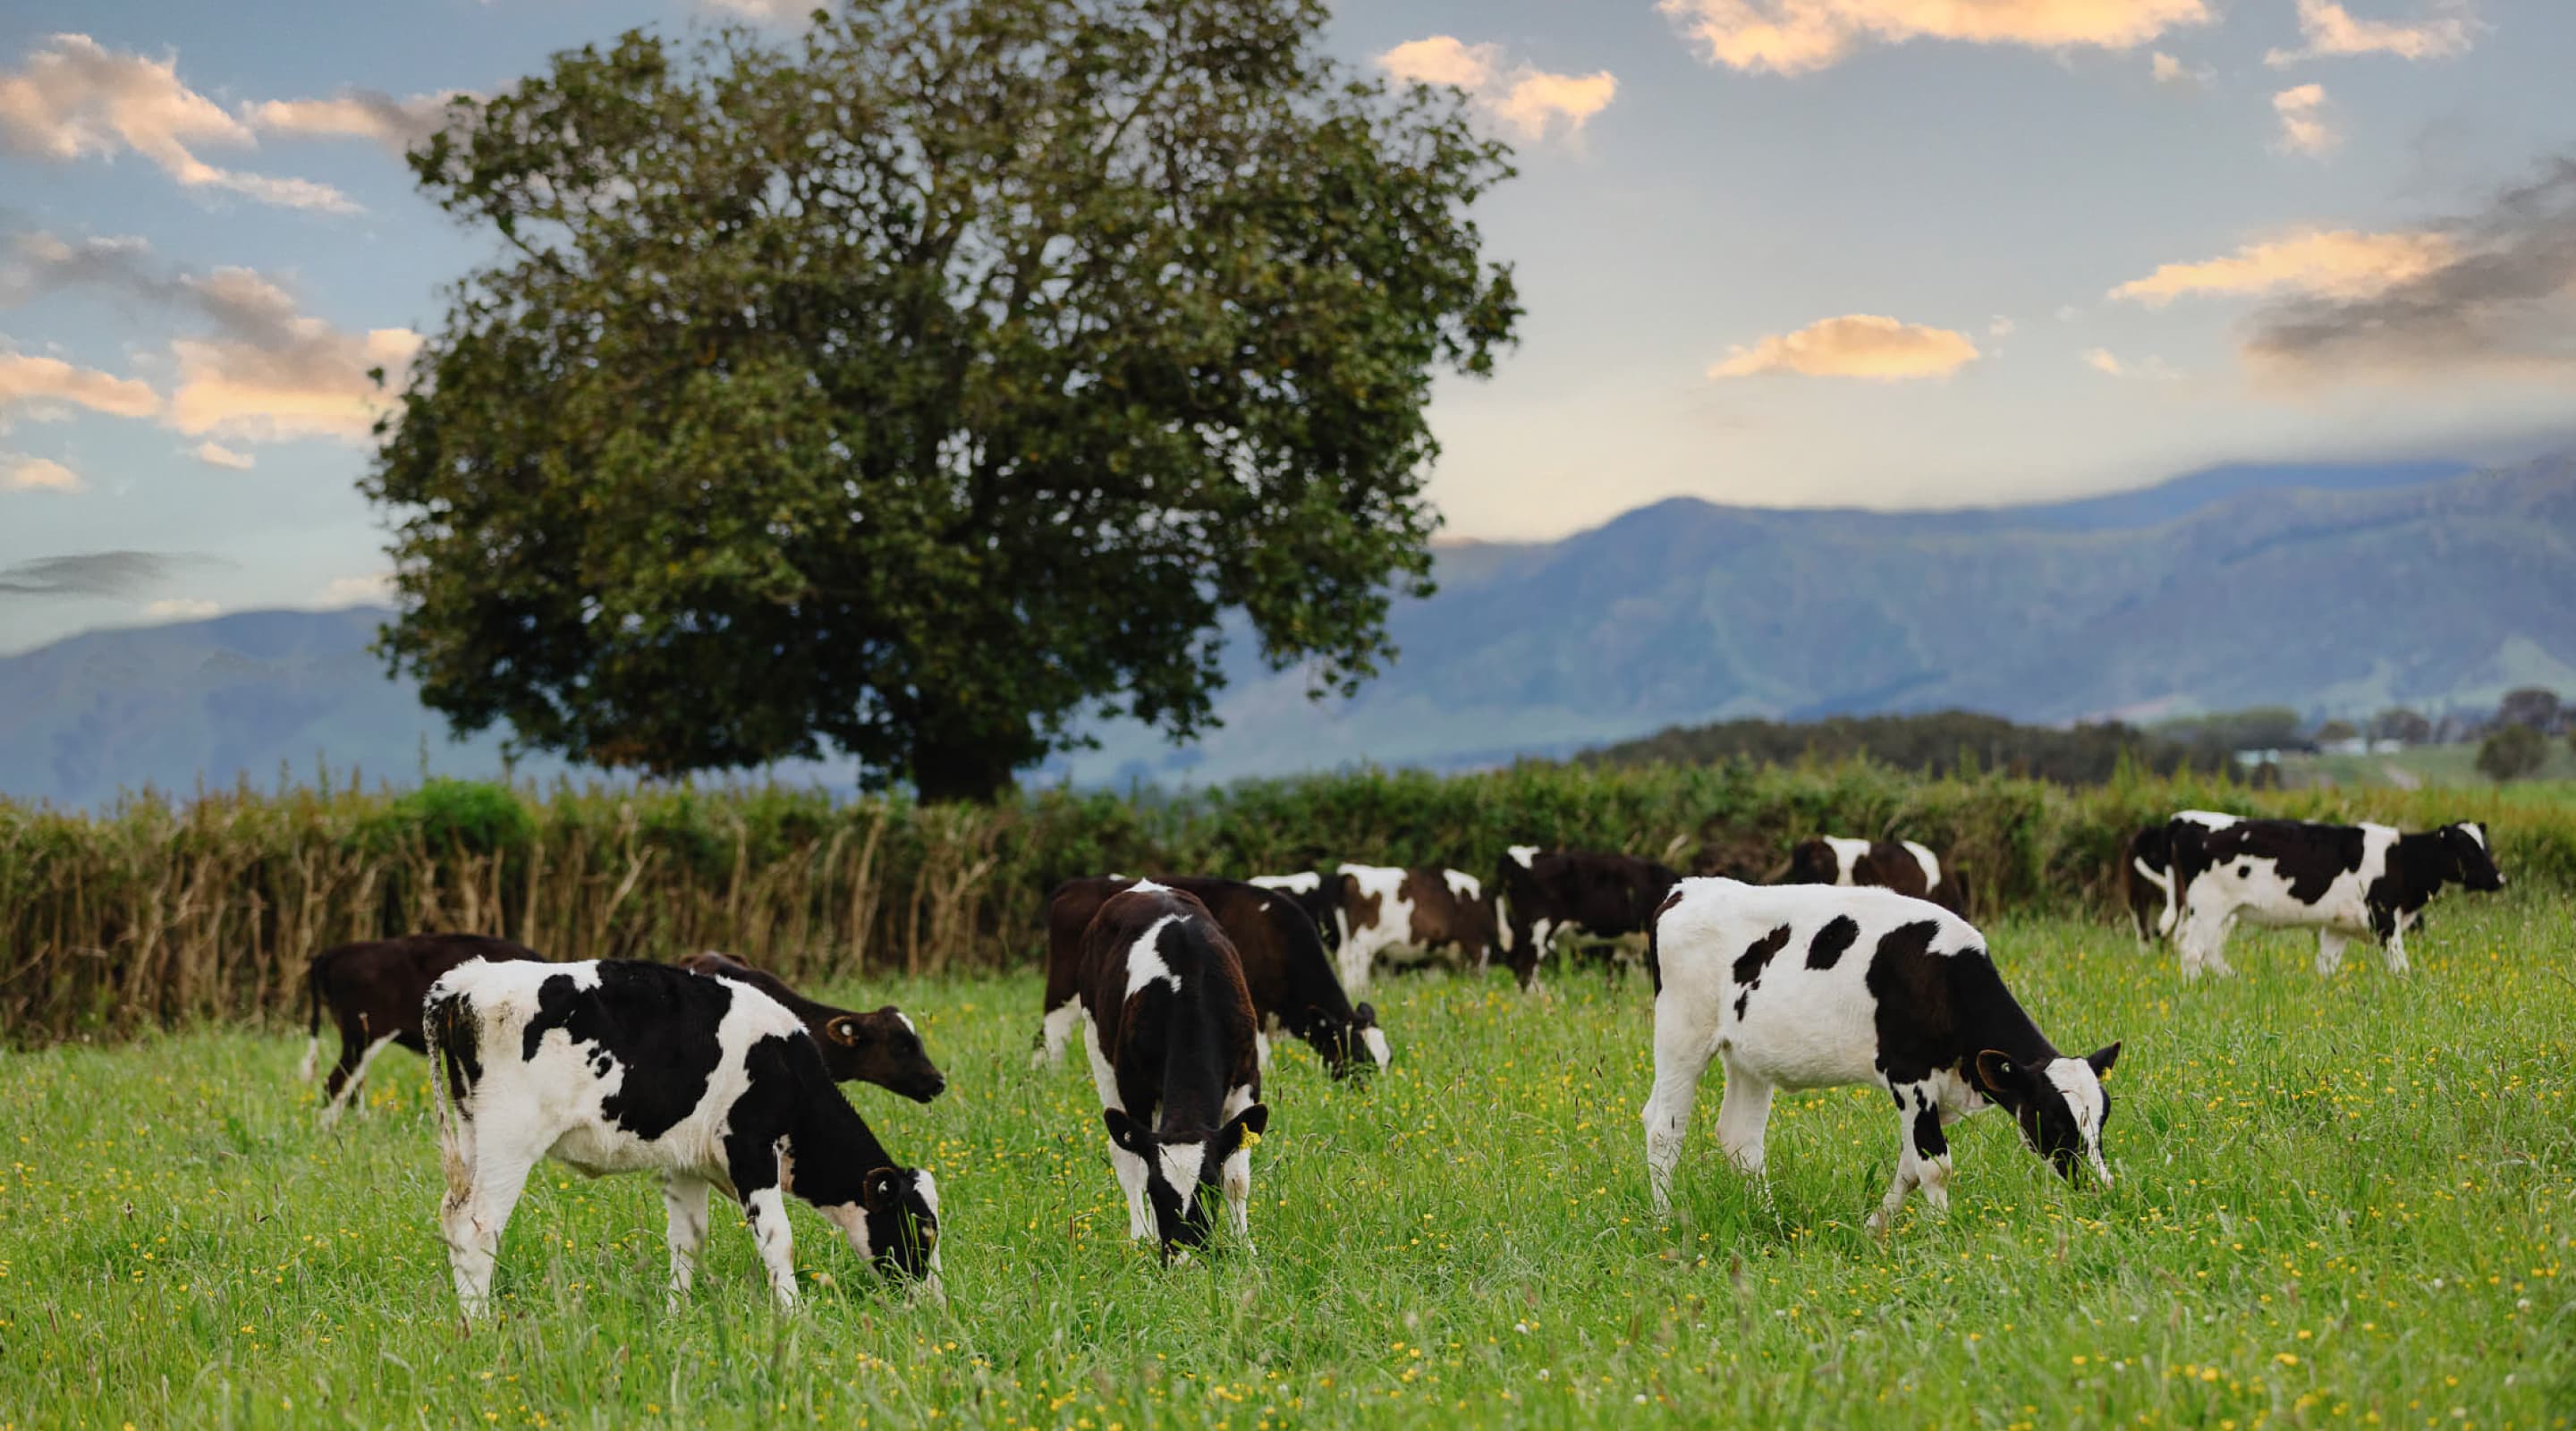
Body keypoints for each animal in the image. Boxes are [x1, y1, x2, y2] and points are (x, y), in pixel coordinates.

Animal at [1040, 875, 1387, 1077]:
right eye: (1360, 1059)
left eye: (1388, 1061)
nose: (1375, 1099)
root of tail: (1072, 887)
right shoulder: (1254, 1009)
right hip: (1064, 990)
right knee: (1051, 1035)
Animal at [1069, 883, 1269, 1259]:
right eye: (1156, 1192)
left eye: (1209, 1189)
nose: (1185, 1259)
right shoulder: (1134, 1089)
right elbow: (1136, 1161)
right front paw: (1146, 1237)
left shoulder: (1247, 1079)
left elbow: (1238, 1176)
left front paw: (1244, 1245)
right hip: (1097, 1046)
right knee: (1122, 1153)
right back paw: (1140, 1235)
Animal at [1325, 864, 1498, 992]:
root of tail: (1349, 874)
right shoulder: (1478, 944)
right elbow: (1477, 975)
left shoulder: (1436, 958)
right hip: (1362, 944)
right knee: (1356, 969)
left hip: (1350, 940)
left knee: (1345, 962)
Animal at [1642, 879, 2120, 1228]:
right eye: (2055, 1120)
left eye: (2101, 1119)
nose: (2102, 1186)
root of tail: (1685, 889)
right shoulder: (1909, 1077)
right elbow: (1936, 1165)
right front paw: (1942, 1233)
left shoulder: (1932, 1093)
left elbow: (1911, 1165)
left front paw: (1876, 1227)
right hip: (1681, 1035)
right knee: (1664, 1130)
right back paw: (1666, 1221)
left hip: (1748, 1057)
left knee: (1740, 1138)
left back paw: (1770, 1219)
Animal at [2167, 817, 2502, 979]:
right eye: (2467, 849)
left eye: (2485, 845)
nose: (2499, 879)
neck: (2401, 858)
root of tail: (2188, 823)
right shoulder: (2384, 918)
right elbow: (2400, 966)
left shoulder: (2337, 927)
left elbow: (2325, 967)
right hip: (2208, 908)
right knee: (2192, 951)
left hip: (2221, 914)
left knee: (2209, 951)